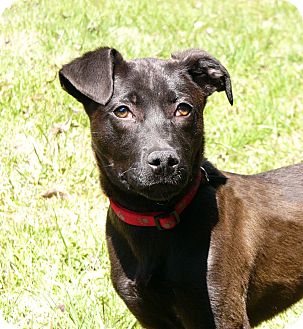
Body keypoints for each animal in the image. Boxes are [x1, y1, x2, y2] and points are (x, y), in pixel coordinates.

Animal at [59, 47, 303, 326]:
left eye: (183, 109)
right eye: (122, 111)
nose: (164, 161)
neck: (156, 220)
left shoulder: (224, 313)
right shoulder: (150, 316)